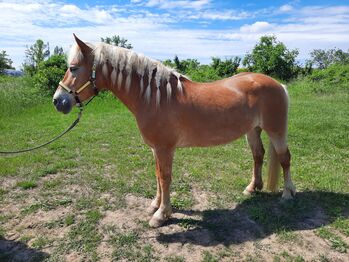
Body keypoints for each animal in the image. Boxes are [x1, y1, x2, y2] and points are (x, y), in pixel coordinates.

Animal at [53, 34, 294, 227]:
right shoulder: (155, 149)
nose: (58, 101)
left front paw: (161, 215)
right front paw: (155, 205)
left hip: (276, 131)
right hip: (253, 130)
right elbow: (158, 175)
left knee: (284, 158)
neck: (155, 98)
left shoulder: (164, 148)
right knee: (258, 155)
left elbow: (165, 177)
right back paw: (253, 188)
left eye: (73, 68)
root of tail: (278, 85)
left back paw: (287, 194)